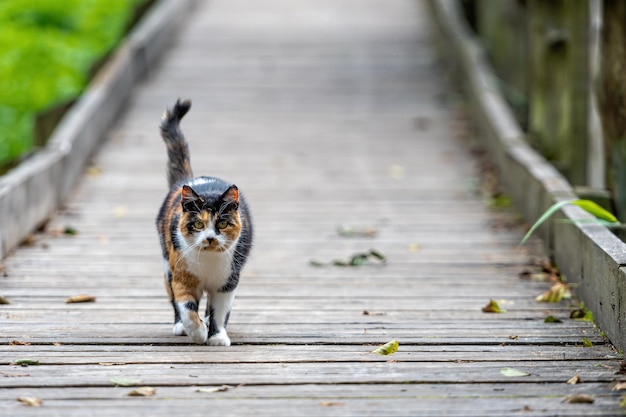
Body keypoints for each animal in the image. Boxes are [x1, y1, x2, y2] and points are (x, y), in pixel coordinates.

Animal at [155, 98, 251, 344]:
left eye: (222, 224)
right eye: (198, 224)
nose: (209, 238)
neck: (208, 263)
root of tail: (190, 179)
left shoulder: (228, 282)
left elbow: (219, 311)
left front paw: (216, 336)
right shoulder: (180, 274)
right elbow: (187, 307)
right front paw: (197, 332)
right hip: (167, 263)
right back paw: (181, 326)